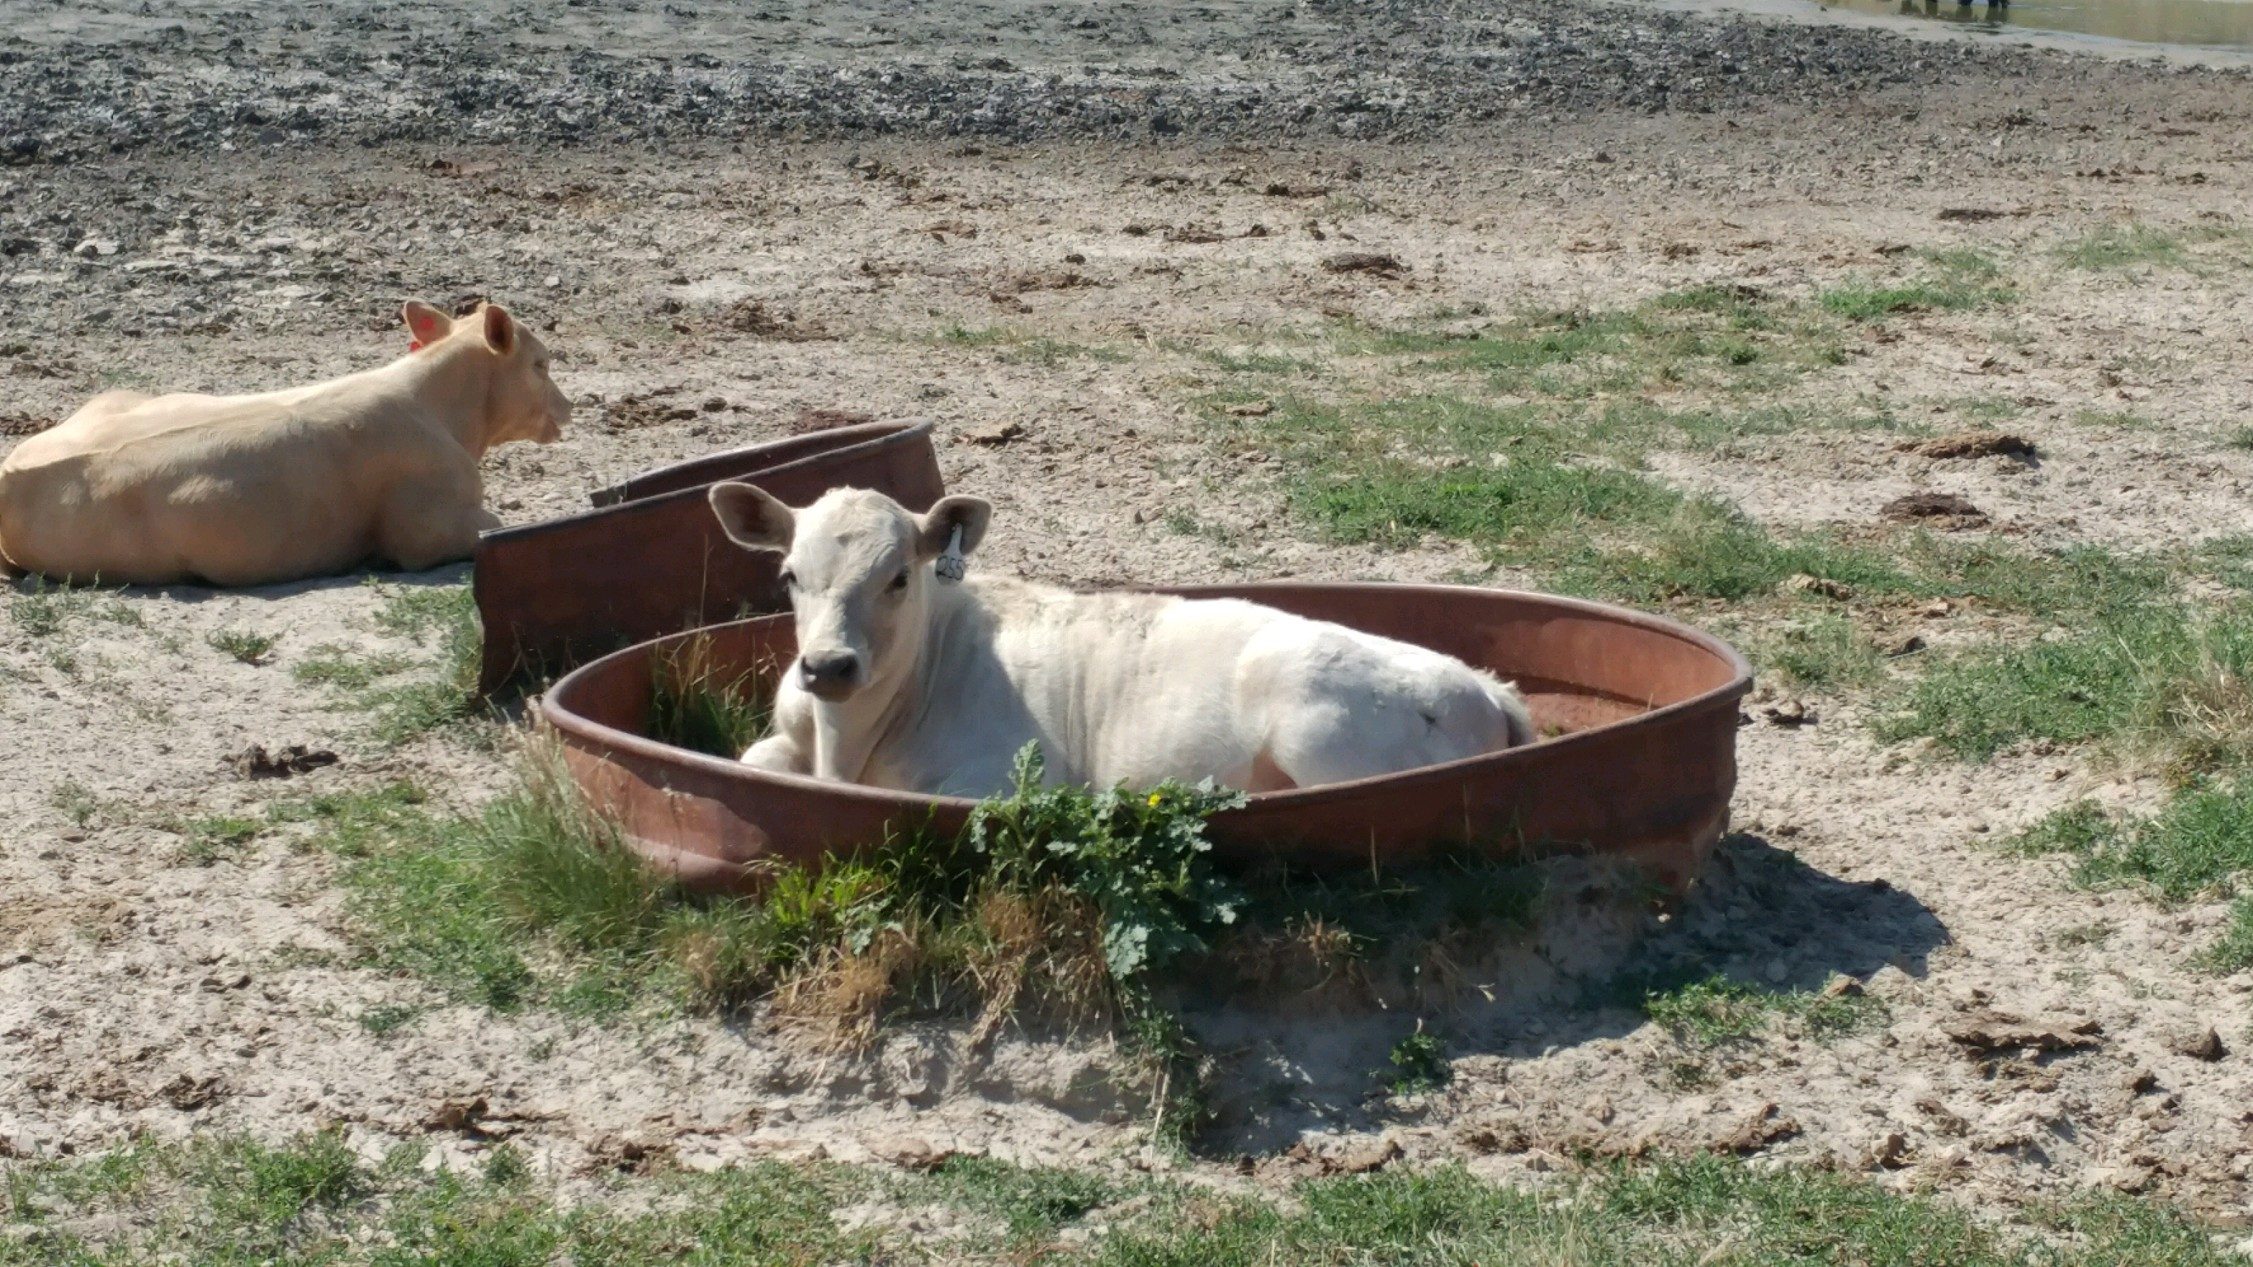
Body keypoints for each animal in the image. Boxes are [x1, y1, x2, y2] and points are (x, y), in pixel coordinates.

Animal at [706, 482, 1536, 798]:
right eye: (788, 575)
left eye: (898, 578)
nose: (828, 664)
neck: (847, 743)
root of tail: (1480, 684)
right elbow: (751, 760)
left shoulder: (1005, 776)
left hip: (1319, 728)